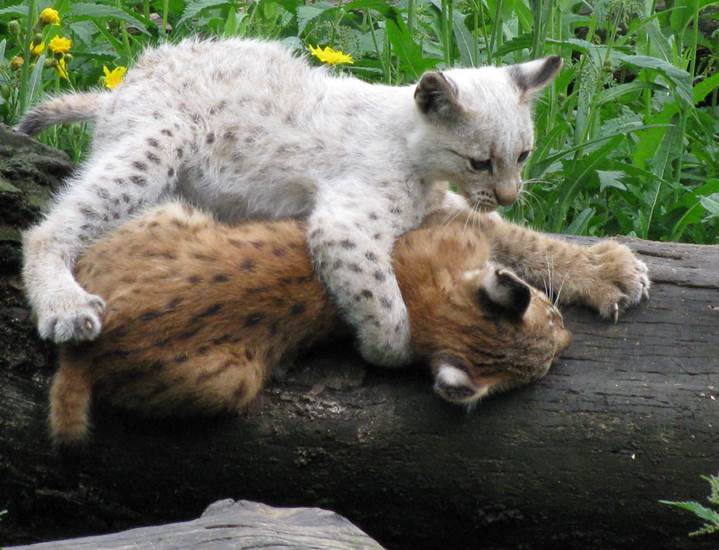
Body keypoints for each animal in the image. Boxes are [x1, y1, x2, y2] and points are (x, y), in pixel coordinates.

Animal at [19, 37, 564, 366]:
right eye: (480, 163)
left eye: (523, 154)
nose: (510, 196)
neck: (418, 155)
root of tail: (122, 86)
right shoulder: (342, 225)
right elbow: (384, 303)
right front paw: (392, 350)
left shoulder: (435, 209)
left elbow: (518, 241)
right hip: (161, 140)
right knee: (45, 229)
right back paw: (64, 305)